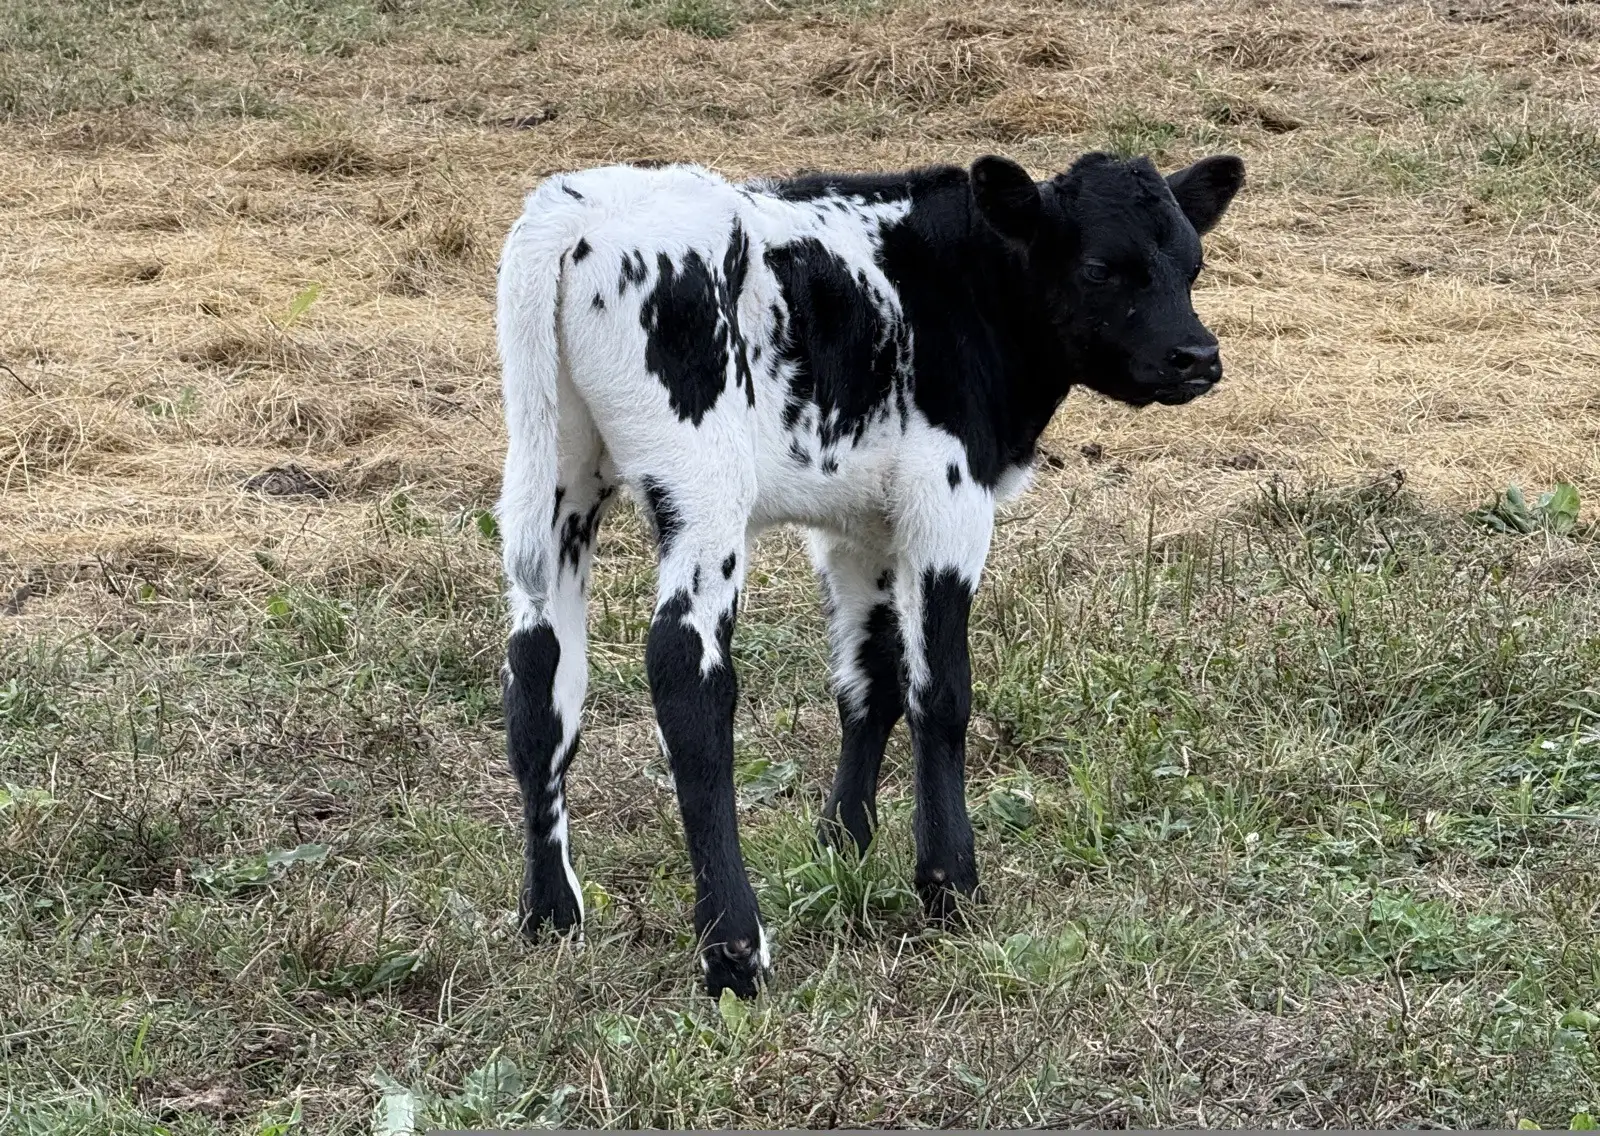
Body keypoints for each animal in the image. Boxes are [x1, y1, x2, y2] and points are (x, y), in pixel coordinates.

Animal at [494, 149, 1244, 998]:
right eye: (1098, 268)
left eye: (1193, 264)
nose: (1197, 357)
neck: (954, 282)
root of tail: (577, 206)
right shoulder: (946, 496)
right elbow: (940, 690)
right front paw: (948, 881)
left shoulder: (859, 525)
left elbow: (871, 679)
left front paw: (843, 842)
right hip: (703, 486)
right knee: (687, 675)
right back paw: (733, 948)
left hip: (557, 478)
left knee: (539, 677)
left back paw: (551, 915)